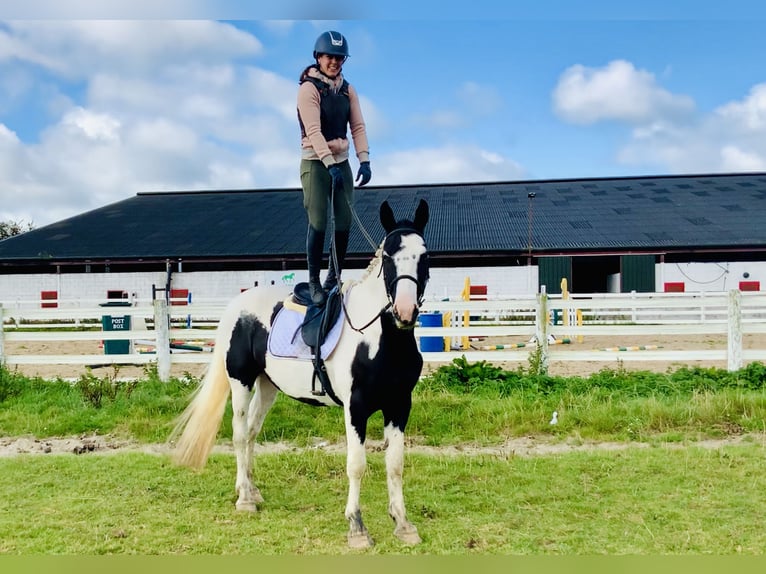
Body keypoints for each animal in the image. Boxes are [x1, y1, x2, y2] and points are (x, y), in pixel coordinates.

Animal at [173, 200, 432, 552]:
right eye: (389, 257)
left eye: (425, 256)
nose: (404, 312)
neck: (380, 340)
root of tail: (236, 306)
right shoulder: (356, 408)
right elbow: (357, 465)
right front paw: (357, 527)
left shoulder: (399, 406)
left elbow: (395, 465)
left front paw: (403, 525)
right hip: (240, 382)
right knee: (239, 434)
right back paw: (244, 500)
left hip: (267, 386)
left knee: (252, 432)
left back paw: (252, 490)